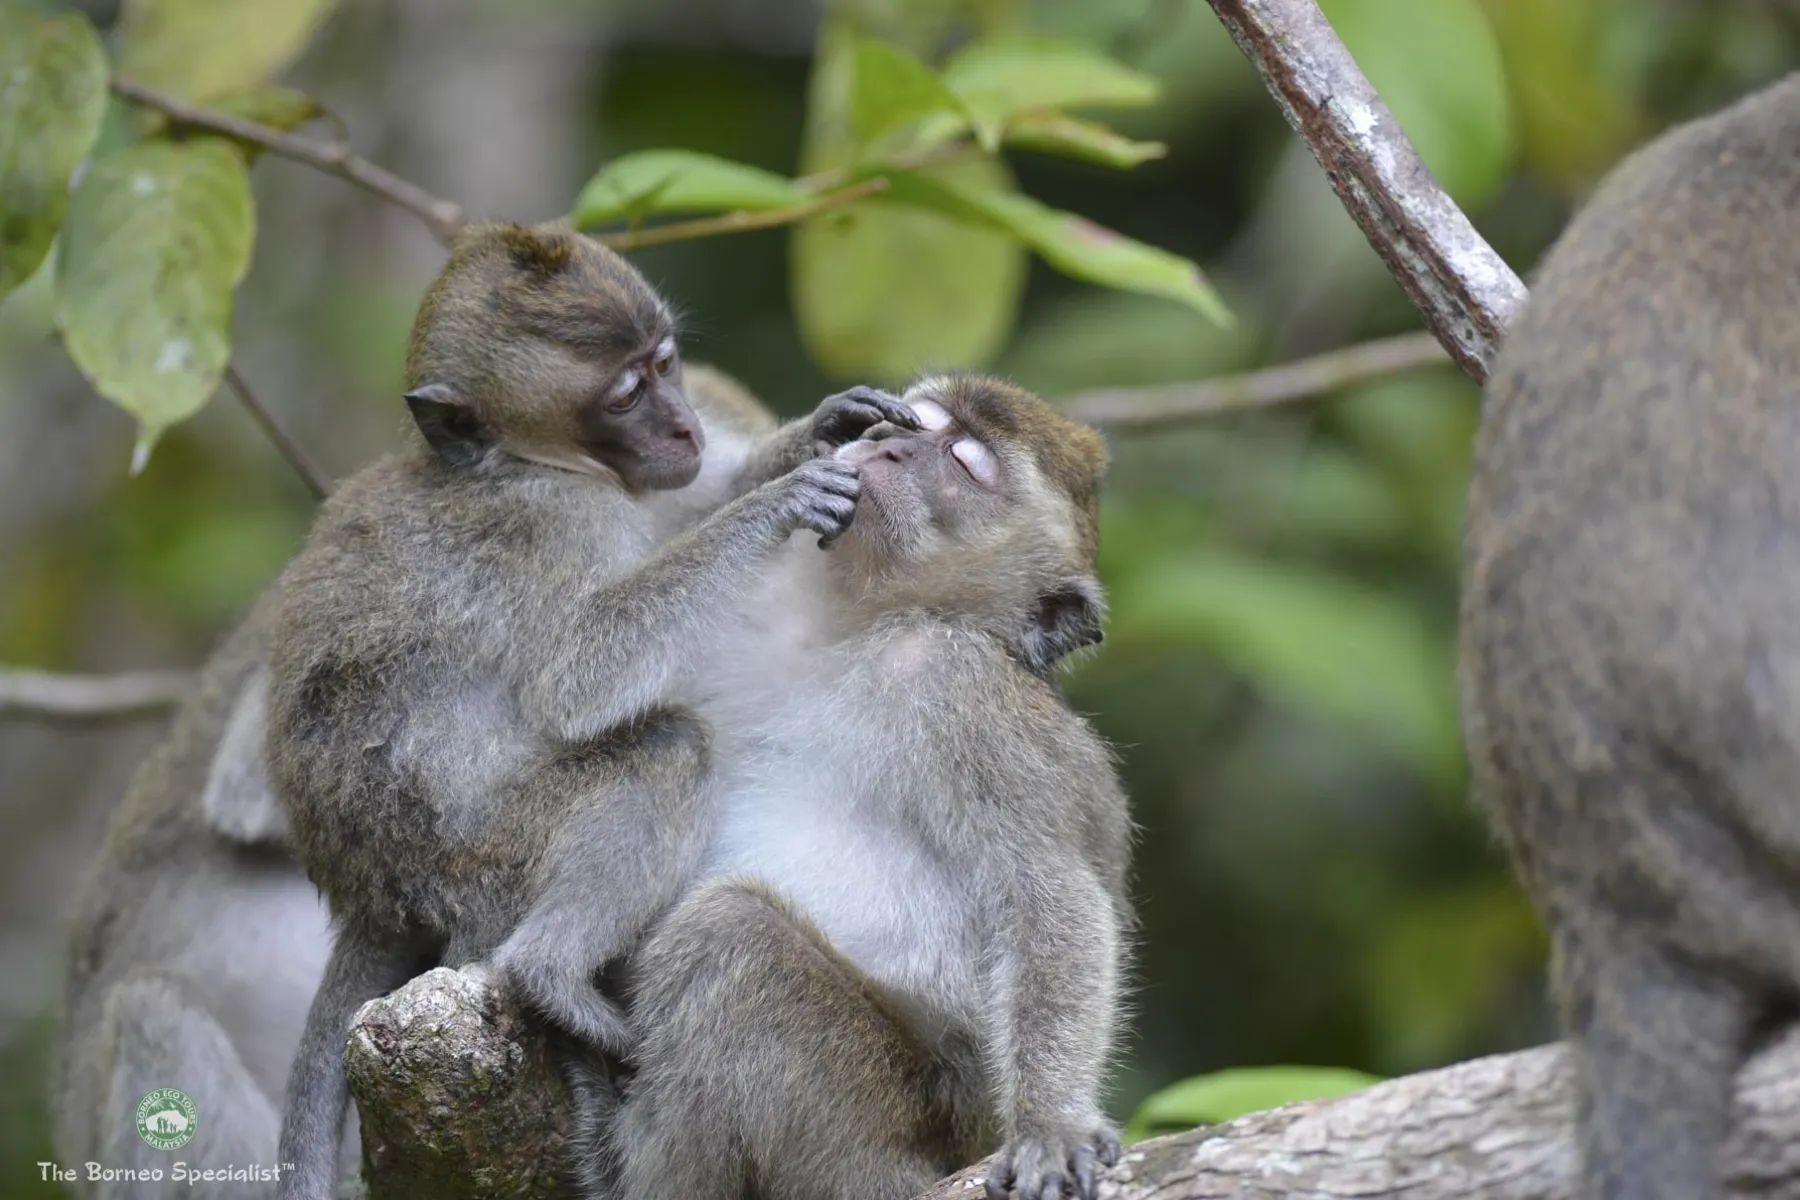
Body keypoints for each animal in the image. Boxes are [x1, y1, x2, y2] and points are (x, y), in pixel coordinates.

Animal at [265, 220, 923, 1200]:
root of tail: (369, 891)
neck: (526, 462)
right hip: (483, 867)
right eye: (625, 394)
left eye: (666, 362)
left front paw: (818, 432)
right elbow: (579, 676)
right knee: (665, 747)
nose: (685, 426)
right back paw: (550, 978)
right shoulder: (551, 522)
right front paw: (779, 499)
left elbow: (677, 511)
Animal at [606, 374, 1133, 1200]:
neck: (845, 625)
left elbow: (1047, 891)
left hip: (865, 1119)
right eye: (916, 423)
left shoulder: (958, 686)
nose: (888, 447)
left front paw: (1051, 1124)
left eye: (964, 462)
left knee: (729, 933)